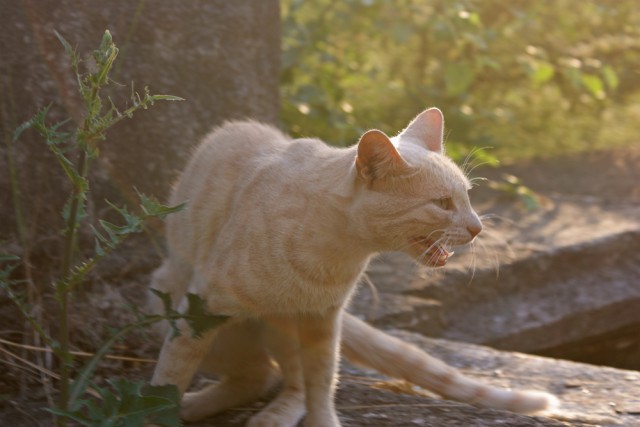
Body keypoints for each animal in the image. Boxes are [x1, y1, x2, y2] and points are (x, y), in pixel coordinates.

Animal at [148, 109, 556, 427]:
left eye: (468, 197)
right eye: (442, 203)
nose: (478, 228)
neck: (335, 252)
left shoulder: (323, 322)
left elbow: (321, 382)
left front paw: (323, 420)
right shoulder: (199, 311)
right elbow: (170, 376)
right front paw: (155, 413)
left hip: (278, 326)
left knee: (276, 378)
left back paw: (262, 414)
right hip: (176, 305)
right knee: (257, 373)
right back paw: (195, 405)